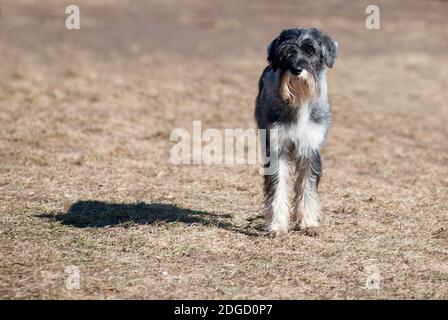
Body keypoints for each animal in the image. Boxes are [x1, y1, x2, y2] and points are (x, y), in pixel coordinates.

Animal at [254, 28, 338, 235]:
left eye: (311, 50)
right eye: (285, 52)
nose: (297, 70)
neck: (299, 100)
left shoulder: (310, 149)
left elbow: (307, 188)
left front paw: (308, 223)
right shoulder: (277, 149)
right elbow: (278, 187)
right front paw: (276, 225)